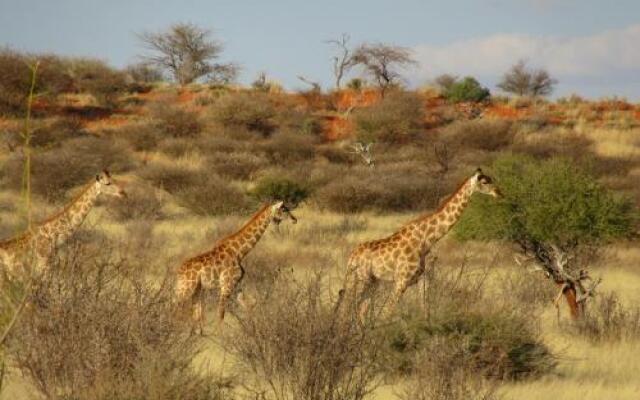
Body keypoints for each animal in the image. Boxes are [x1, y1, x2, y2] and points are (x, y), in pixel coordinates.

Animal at [174, 200, 296, 332]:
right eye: (284, 209)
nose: (295, 219)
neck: (239, 252)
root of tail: (179, 272)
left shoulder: (237, 284)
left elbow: (248, 305)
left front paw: (254, 329)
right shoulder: (226, 285)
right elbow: (221, 313)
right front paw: (220, 335)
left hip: (196, 289)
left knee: (195, 313)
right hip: (186, 288)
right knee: (177, 308)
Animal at [340, 169, 500, 318]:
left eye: (491, 179)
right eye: (485, 182)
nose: (499, 193)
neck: (425, 239)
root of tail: (351, 257)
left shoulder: (423, 279)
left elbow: (425, 311)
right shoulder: (401, 280)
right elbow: (387, 313)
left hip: (373, 282)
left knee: (361, 311)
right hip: (360, 280)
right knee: (347, 309)